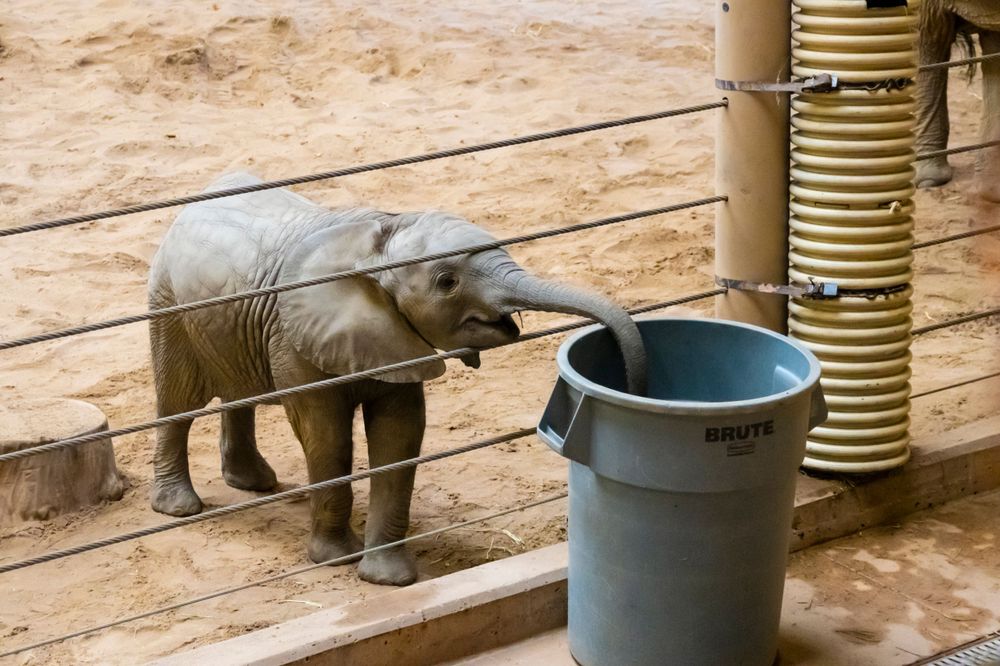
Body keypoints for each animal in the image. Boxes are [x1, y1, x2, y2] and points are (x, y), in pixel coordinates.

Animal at [147, 171, 647, 586]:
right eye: (447, 282)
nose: (635, 386)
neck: (377, 241)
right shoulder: (293, 335)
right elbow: (328, 436)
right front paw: (337, 560)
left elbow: (400, 433)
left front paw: (389, 580)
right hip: (167, 303)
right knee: (178, 403)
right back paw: (179, 507)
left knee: (237, 395)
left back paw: (254, 484)